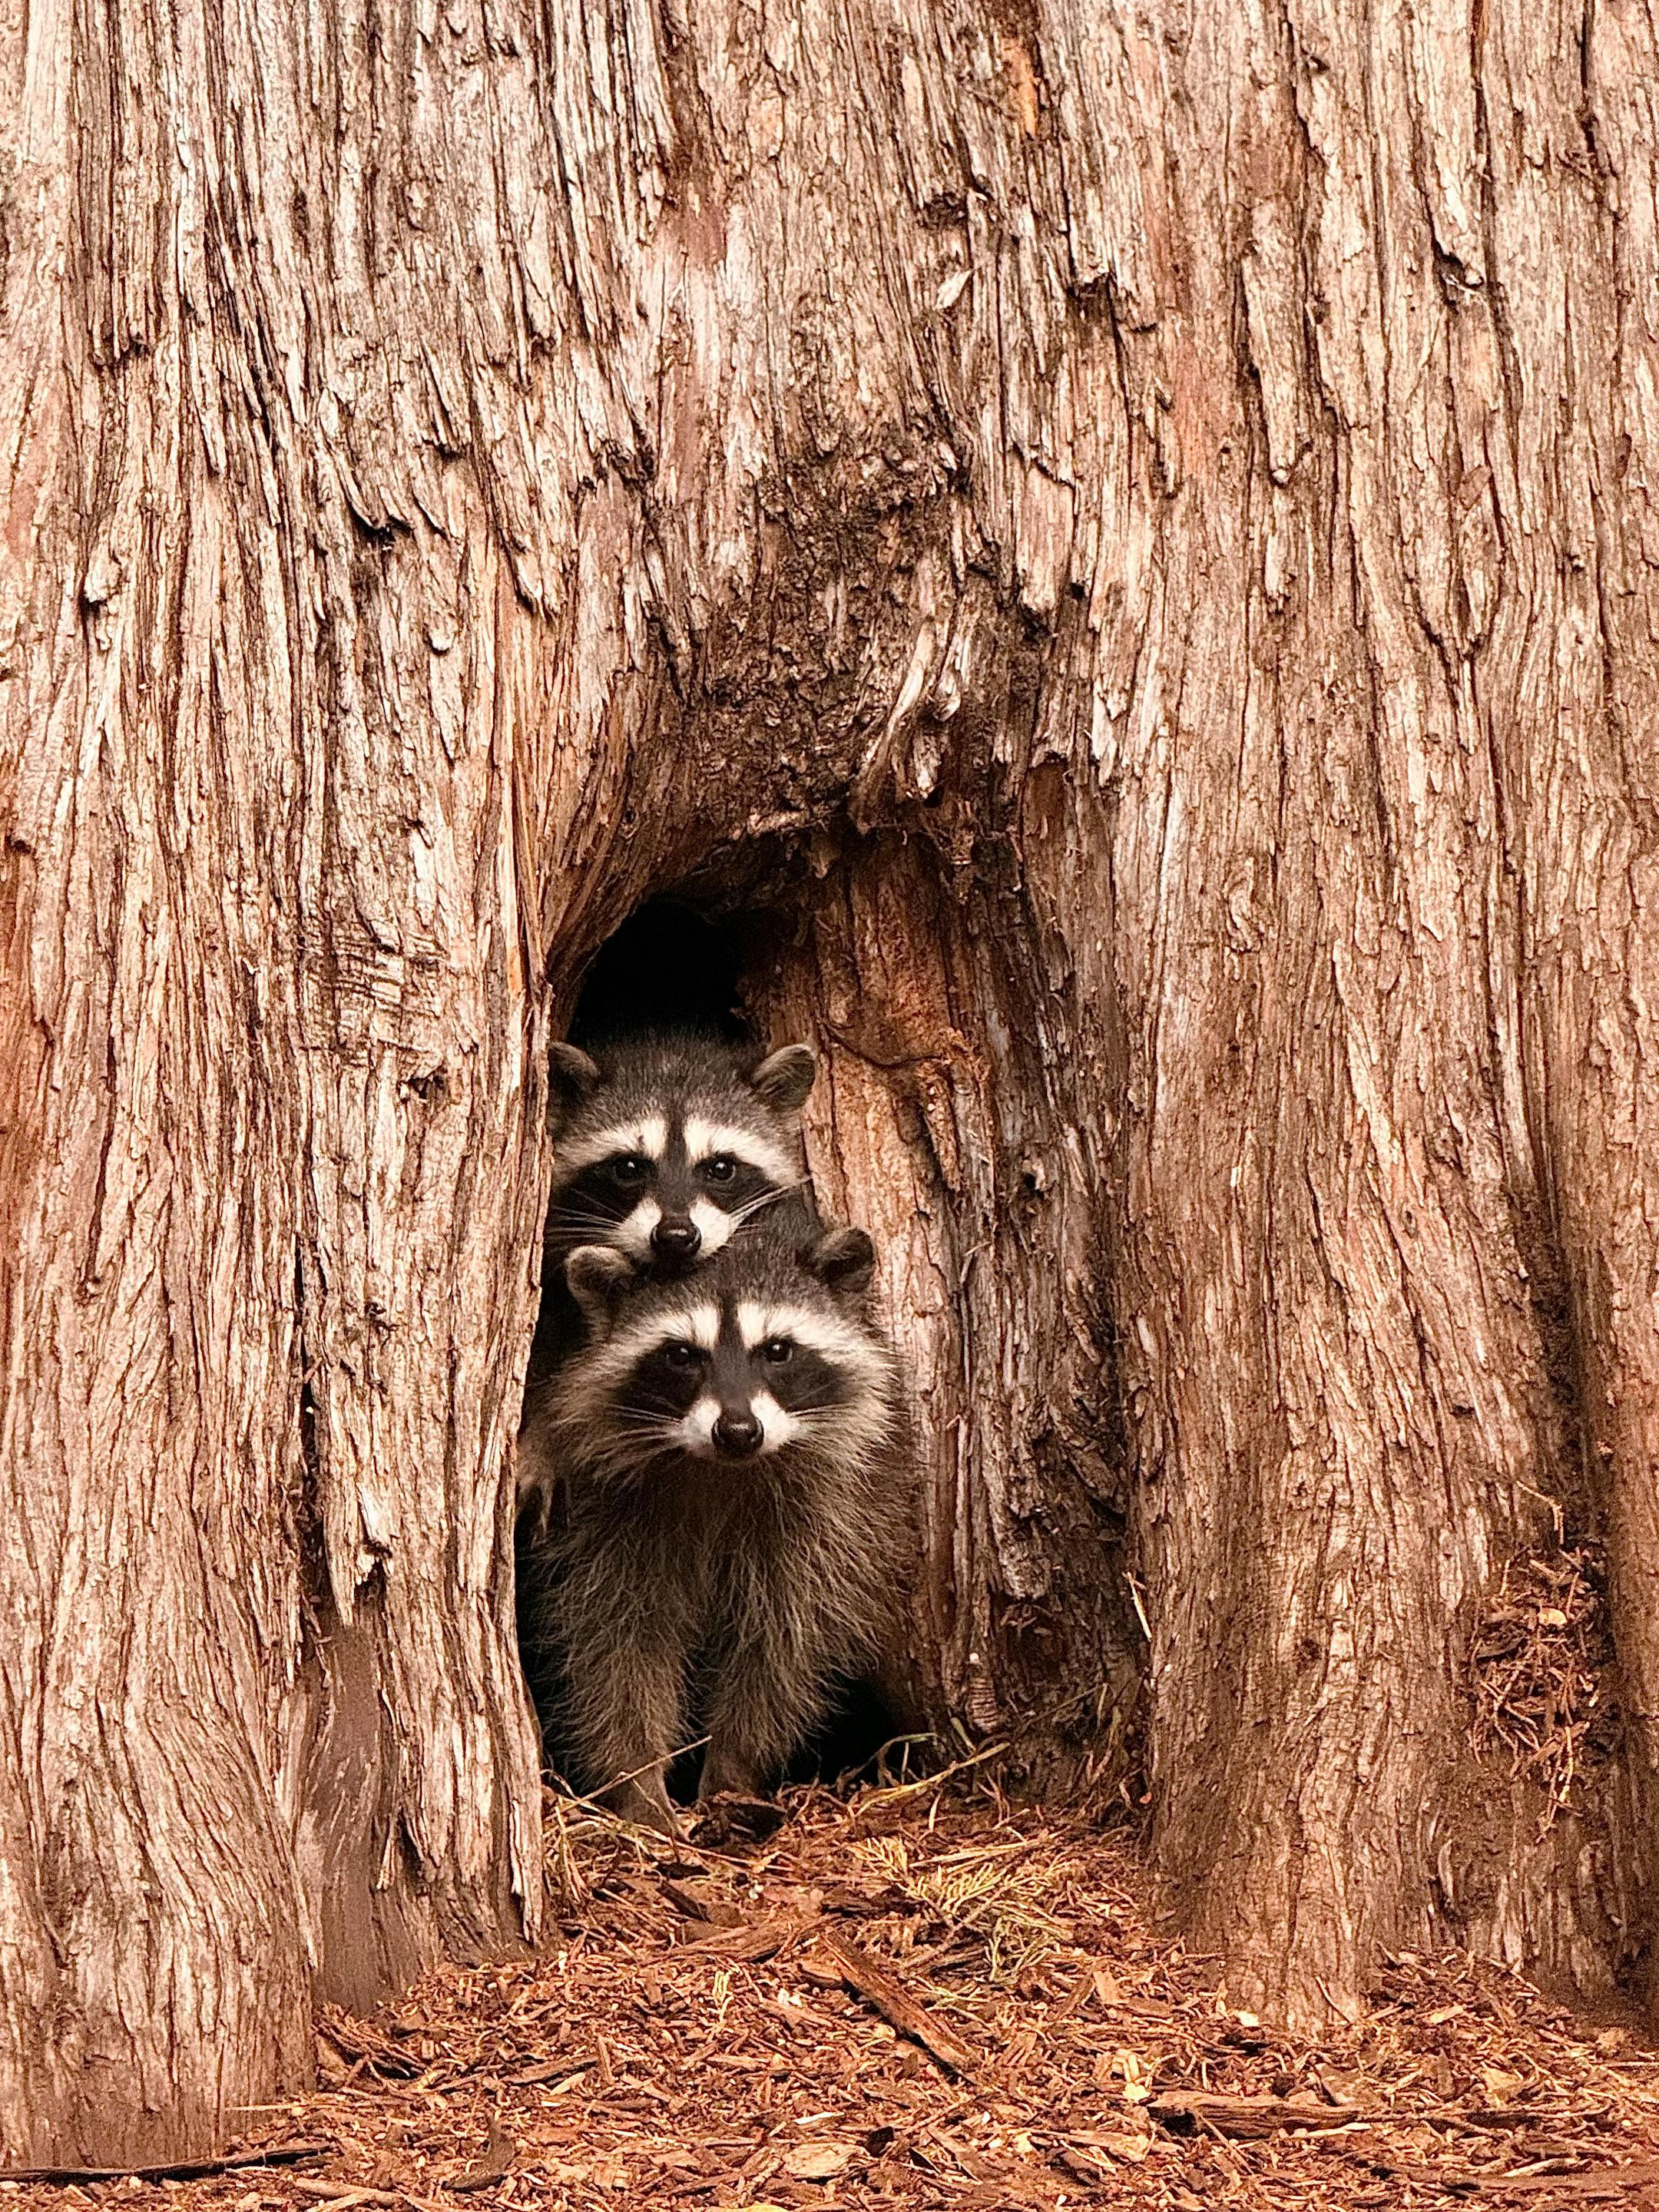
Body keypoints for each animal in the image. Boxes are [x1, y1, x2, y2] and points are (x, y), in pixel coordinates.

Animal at [517, 1202, 905, 1833]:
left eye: (777, 1350)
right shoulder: (604, 1527)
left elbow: (781, 1649)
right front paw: (638, 1783)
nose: (739, 1430)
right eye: (681, 1355)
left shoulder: (831, 1525)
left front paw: (733, 1771)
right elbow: (617, 1649)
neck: (719, 1469)